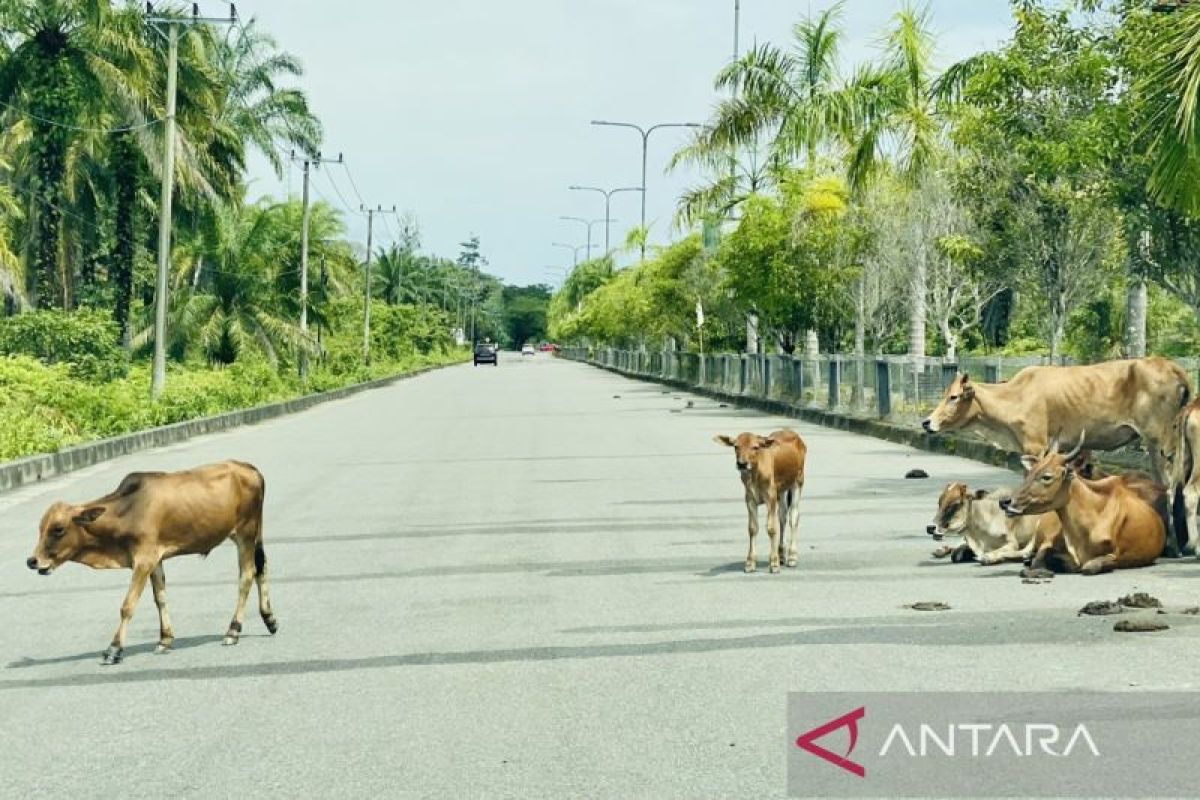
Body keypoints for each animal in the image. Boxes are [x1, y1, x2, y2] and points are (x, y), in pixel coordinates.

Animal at [27, 460, 274, 666]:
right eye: (40, 528)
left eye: (58, 529)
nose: (32, 561)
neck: (128, 512)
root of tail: (250, 468)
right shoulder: (155, 560)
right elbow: (160, 598)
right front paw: (165, 640)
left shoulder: (143, 561)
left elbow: (127, 606)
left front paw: (114, 649)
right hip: (254, 534)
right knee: (262, 566)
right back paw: (270, 619)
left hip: (245, 533)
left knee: (247, 575)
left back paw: (233, 631)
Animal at [710, 429, 806, 573]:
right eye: (736, 446)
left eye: (755, 447)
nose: (742, 464)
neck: (755, 474)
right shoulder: (750, 499)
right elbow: (752, 528)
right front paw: (750, 563)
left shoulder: (771, 498)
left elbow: (771, 528)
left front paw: (774, 563)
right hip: (782, 490)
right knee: (782, 516)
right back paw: (781, 554)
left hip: (798, 482)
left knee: (793, 517)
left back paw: (792, 557)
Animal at [926, 484, 1060, 566]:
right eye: (939, 502)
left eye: (955, 504)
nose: (930, 527)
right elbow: (956, 553)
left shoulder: (1012, 542)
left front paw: (989, 557)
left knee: (1026, 550)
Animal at [998, 431, 1166, 575]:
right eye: (1031, 472)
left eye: (1046, 476)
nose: (1005, 501)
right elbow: (1038, 560)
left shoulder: (1117, 556)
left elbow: (1089, 567)